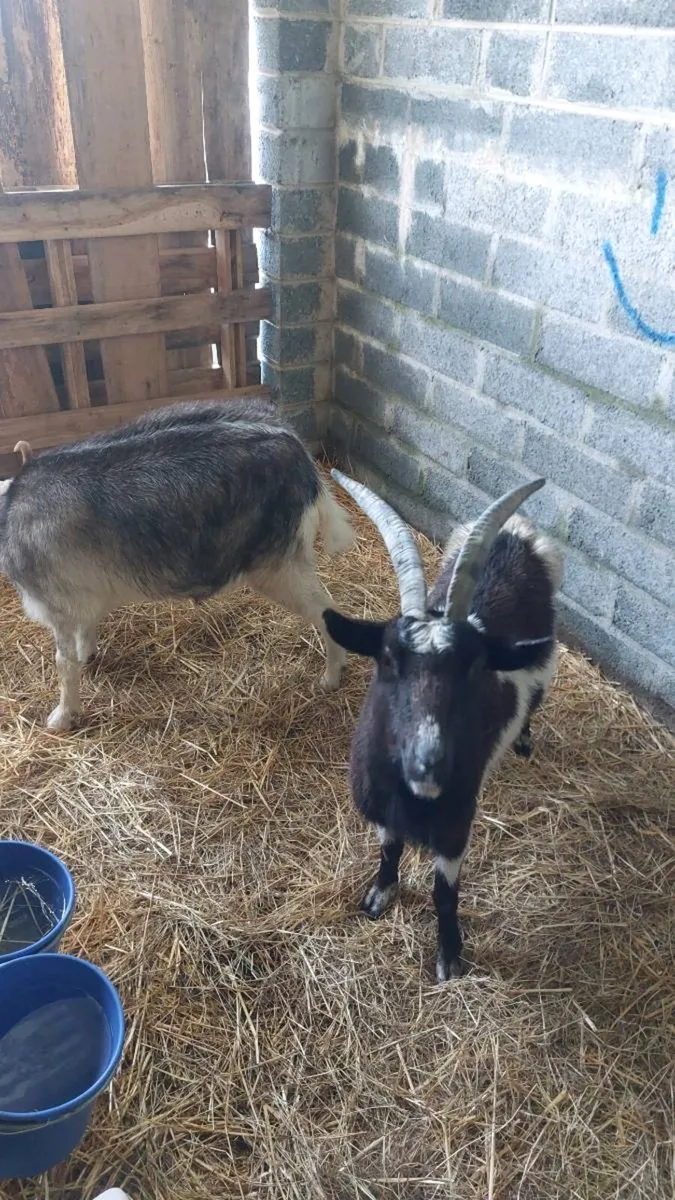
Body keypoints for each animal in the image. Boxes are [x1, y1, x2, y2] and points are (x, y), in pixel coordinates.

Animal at [0, 399, 354, 732]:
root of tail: (296, 448)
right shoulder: (82, 595)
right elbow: (85, 631)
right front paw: (88, 655)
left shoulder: (57, 603)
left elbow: (64, 663)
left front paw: (61, 717)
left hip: (279, 566)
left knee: (328, 610)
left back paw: (331, 677)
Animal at [324, 471, 562, 981]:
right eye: (386, 659)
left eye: (474, 666)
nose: (428, 763)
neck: (415, 798)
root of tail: (515, 531)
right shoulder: (382, 809)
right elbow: (389, 851)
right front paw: (378, 896)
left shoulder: (456, 824)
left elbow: (444, 892)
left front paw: (449, 955)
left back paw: (524, 741)